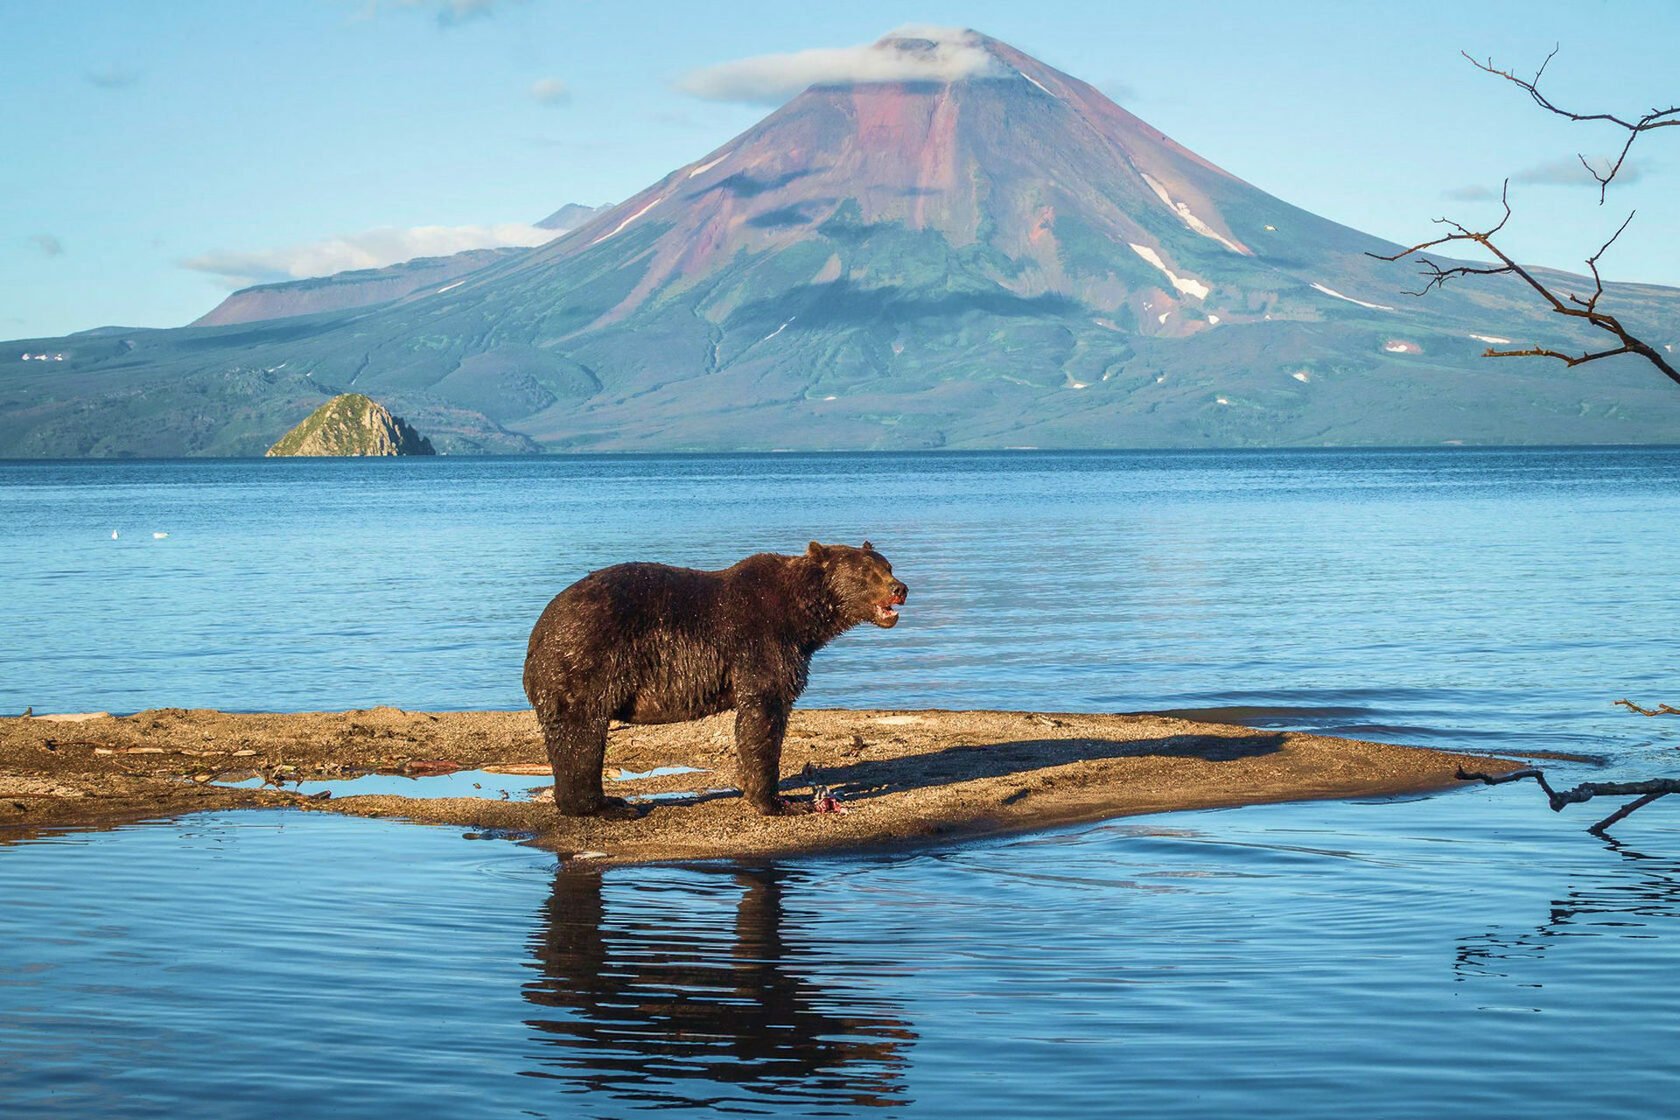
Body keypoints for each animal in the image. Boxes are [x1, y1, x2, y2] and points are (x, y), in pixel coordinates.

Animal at [524, 540, 913, 816]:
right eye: (866, 573)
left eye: (887, 565)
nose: (900, 588)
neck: (802, 618)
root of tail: (537, 633)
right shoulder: (761, 642)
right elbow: (762, 714)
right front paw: (774, 801)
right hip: (586, 660)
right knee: (581, 734)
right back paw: (607, 806)